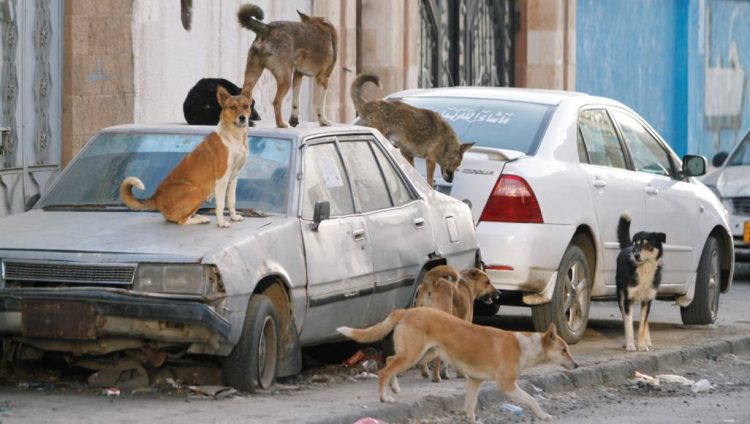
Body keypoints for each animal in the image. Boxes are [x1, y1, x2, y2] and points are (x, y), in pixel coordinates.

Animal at [120, 84, 253, 227]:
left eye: (245, 106)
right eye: (233, 107)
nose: (242, 118)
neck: (234, 137)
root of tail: (156, 197)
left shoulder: (234, 177)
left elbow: (231, 200)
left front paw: (233, 217)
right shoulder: (222, 177)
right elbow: (221, 204)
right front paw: (221, 222)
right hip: (198, 191)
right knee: (181, 221)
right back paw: (201, 219)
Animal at [338, 306, 580, 422]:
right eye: (564, 350)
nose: (577, 365)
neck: (525, 346)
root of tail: (408, 310)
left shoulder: (474, 381)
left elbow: (470, 406)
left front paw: (472, 420)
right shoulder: (507, 386)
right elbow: (532, 400)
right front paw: (543, 415)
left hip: (423, 355)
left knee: (389, 361)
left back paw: (394, 387)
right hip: (414, 355)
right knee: (384, 370)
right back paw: (384, 396)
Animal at [616, 215, 668, 352]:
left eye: (648, 245)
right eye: (637, 245)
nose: (636, 255)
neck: (644, 268)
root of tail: (627, 247)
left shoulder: (647, 299)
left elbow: (641, 326)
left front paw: (641, 345)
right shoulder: (627, 300)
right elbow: (628, 324)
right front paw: (630, 344)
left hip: (646, 300)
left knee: (645, 322)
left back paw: (647, 340)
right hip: (620, 296)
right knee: (625, 318)